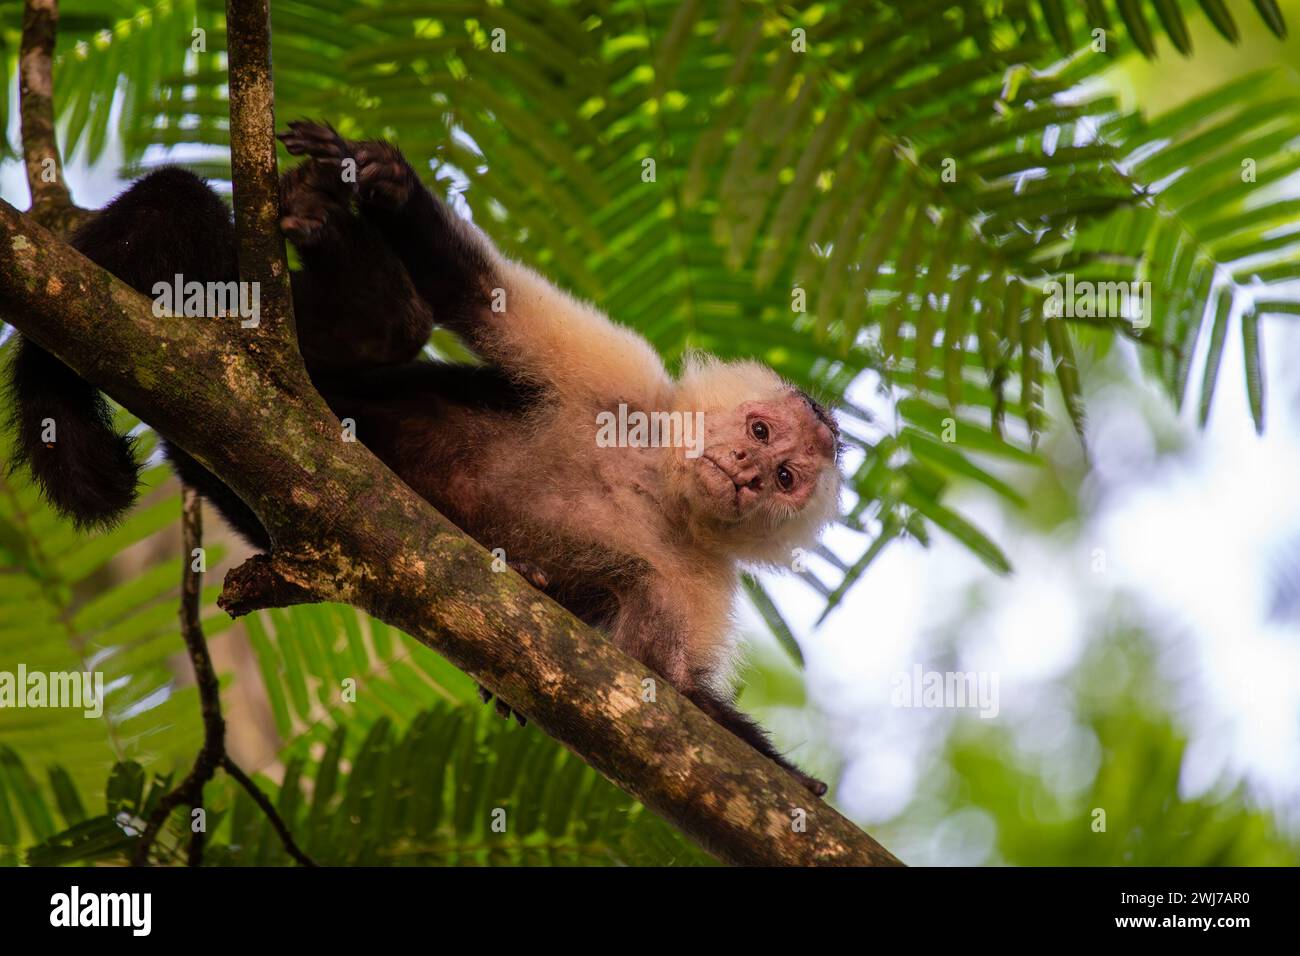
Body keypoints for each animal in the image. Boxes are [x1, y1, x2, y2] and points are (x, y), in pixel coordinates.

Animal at [5, 122, 842, 796]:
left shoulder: (704, 587)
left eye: (786, 479)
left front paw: (790, 777)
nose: (746, 473)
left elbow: (673, 700)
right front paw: (389, 183)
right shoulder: (622, 386)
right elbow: (483, 298)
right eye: (760, 432)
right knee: (337, 302)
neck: (661, 492)